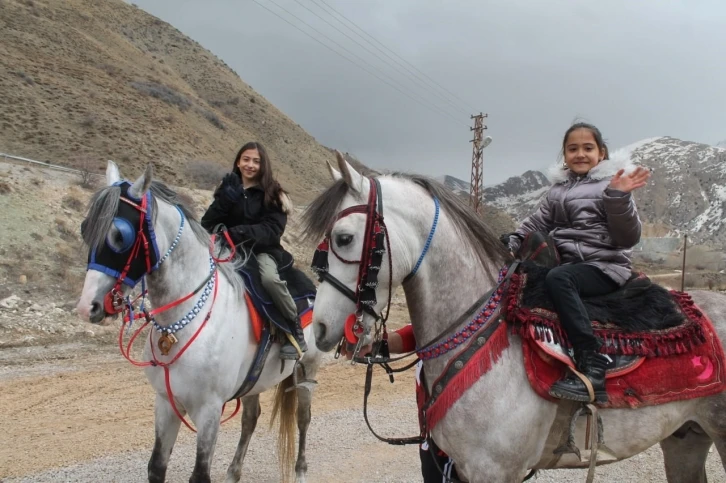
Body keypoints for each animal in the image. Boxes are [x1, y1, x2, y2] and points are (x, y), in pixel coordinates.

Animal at [76, 164, 322, 483]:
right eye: (85, 229)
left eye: (120, 236)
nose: (87, 306)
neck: (182, 323)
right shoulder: (165, 404)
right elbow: (157, 467)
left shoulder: (209, 411)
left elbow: (200, 474)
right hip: (254, 382)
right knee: (250, 419)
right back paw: (233, 473)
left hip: (307, 371)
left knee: (303, 419)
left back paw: (300, 470)